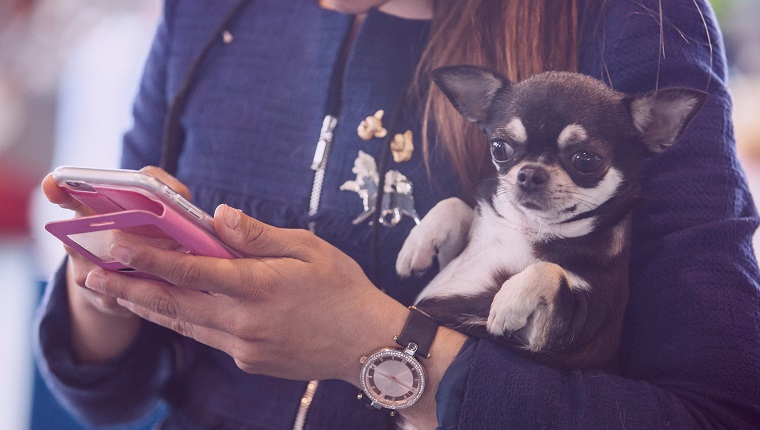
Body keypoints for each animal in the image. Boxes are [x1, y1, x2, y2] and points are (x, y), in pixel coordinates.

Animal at [398, 65, 708, 368]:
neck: (529, 227)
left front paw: (509, 299)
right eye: (499, 148)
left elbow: (550, 270)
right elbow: (454, 204)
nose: (530, 173)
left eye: (587, 160)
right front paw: (416, 244)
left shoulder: (561, 334)